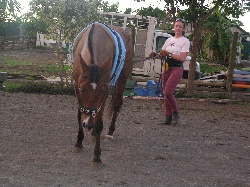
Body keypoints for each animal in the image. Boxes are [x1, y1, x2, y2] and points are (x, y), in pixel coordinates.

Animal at [72, 21, 134, 163]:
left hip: (122, 78)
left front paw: (97, 155)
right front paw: (79, 141)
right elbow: (79, 114)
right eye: (82, 89)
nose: (88, 124)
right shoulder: (76, 86)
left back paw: (109, 132)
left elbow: (99, 123)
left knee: (117, 104)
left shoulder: (104, 90)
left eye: (101, 91)